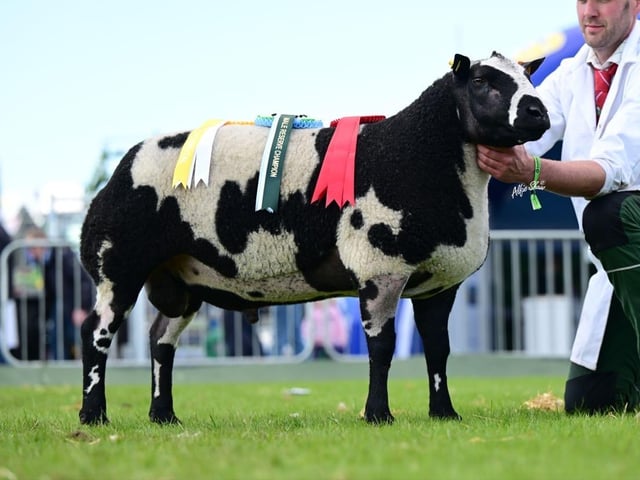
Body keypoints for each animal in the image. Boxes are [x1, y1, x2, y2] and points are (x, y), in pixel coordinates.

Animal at [78, 52, 549, 425]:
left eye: (529, 77)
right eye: (482, 81)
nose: (538, 112)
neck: (421, 154)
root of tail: (126, 163)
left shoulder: (439, 283)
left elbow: (438, 350)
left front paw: (445, 413)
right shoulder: (379, 267)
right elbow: (382, 347)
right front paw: (378, 415)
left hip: (182, 282)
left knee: (160, 341)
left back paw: (163, 416)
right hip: (116, 264)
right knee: (95, 334)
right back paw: (93, 415)